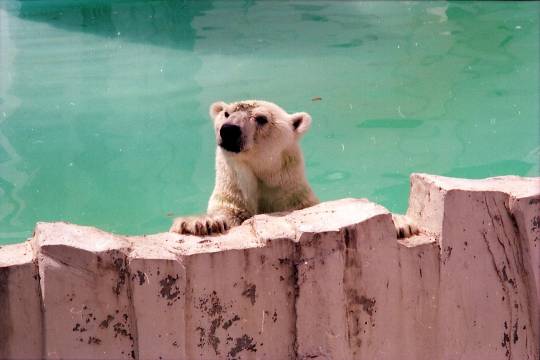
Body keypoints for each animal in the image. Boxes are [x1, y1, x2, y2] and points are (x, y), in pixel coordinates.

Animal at [170, 100, 418, 238]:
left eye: (261, 118)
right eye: (227, 113)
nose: (228, 130)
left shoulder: (298, 203)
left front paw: (400, 224)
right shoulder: (232, 201)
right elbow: (224, 216)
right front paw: (199, 223)